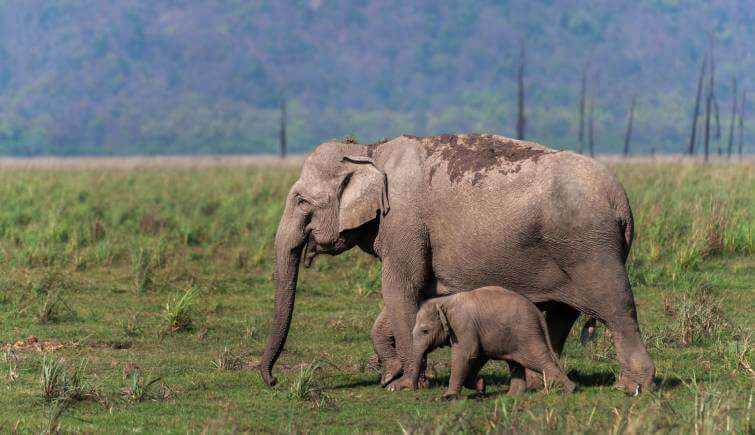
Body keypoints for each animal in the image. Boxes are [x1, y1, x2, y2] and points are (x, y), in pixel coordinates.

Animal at [410, 286, 576, 402]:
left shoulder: (463, 326)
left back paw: (570, 390)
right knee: (515, 362)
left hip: (526, 333)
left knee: (536, 360)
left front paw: (448, 398)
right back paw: (512, 396)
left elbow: (467, 354)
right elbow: (478, 356)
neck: (445, 301)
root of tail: (537, 312)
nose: (416, 389)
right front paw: (481, 386)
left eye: (425, 331)